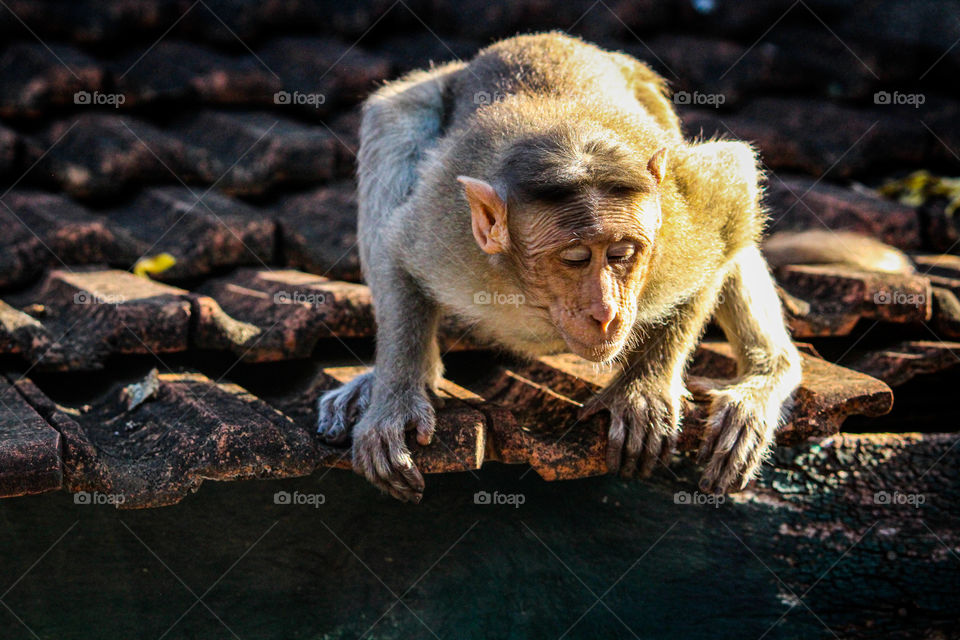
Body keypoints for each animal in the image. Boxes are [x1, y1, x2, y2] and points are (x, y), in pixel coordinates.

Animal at [316, 32, 803, 503]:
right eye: (574, 258)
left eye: (622, 254)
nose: (605, 313)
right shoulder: (448, 235)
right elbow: (397, 251)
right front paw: (395, 400)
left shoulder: (679, 222)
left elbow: (732, 196)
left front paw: (643, 387)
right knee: (393, 120)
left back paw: (767, 375)